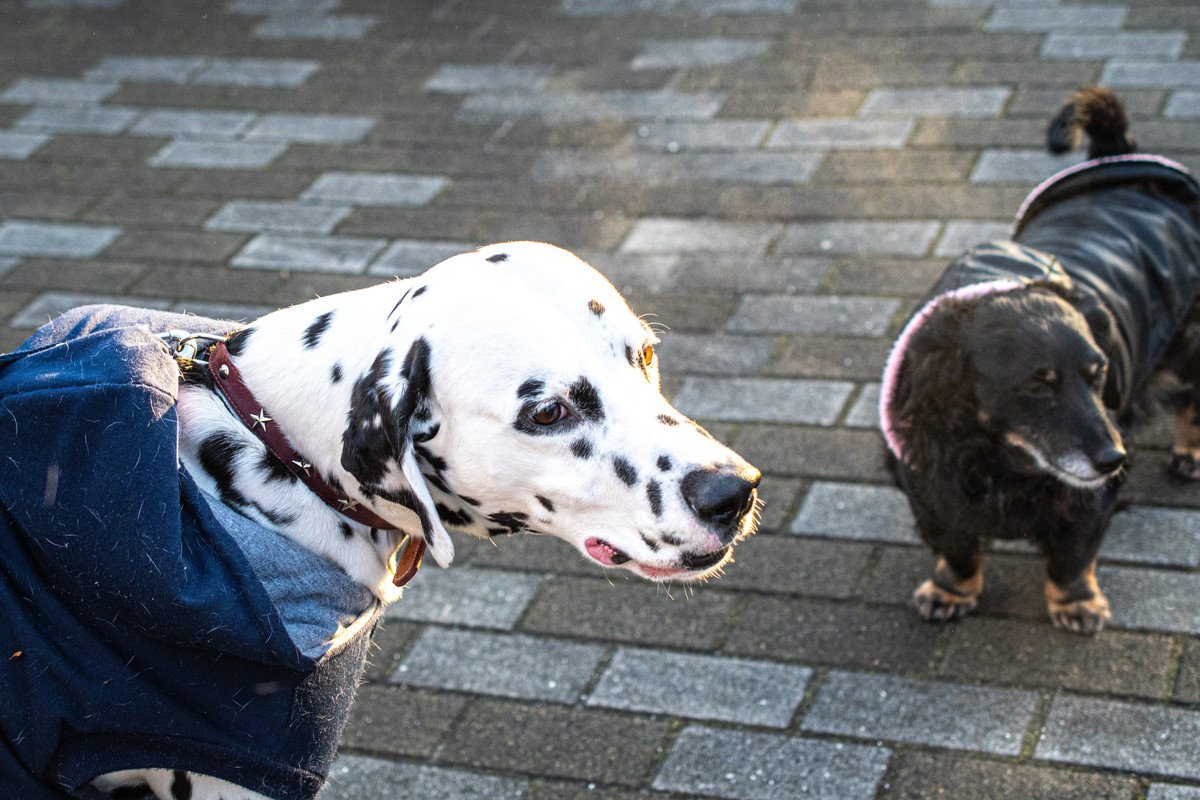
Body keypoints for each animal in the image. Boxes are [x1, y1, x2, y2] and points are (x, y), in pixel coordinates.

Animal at [878, 87, 1200, 633]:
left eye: (1099, 375)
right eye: (1037, 385)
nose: (1114, 459)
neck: (1003, 458)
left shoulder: (1089, 502)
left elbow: (1071, 558)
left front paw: (1077, 604)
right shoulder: (930, 490)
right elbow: (957, 550)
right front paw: (950, 592)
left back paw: (1190, 454)